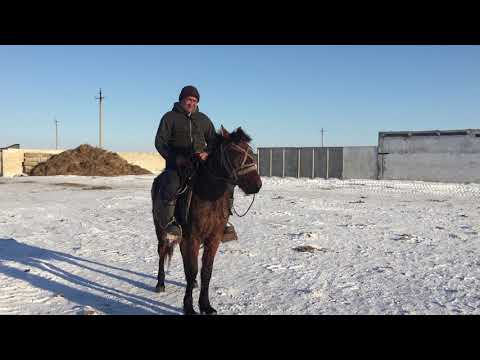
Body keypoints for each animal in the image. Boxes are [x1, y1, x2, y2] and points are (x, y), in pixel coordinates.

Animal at [152, 126, 262, 316]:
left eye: (250, 151)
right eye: (234, 152)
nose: (256, 185)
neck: (208, 195)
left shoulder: (213, 238)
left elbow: (205, 272)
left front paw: (206, 305)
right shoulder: (192, 238)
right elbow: (192, 270)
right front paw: (189, 307)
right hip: (161, 229)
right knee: (162, 252)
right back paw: (160, 283)